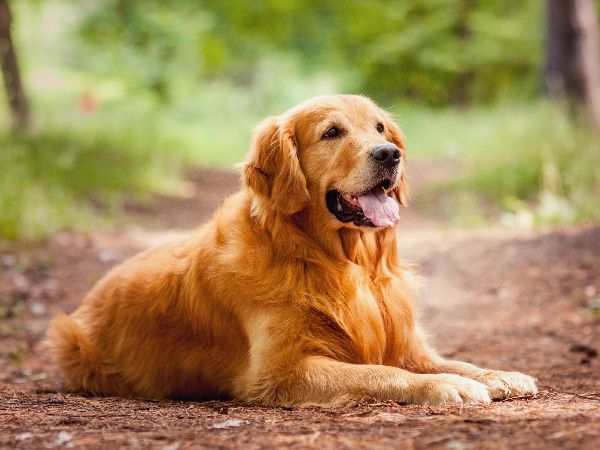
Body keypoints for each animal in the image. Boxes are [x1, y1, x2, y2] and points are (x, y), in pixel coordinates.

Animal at [44, 94, 536, 404]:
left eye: (379, 127)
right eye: (332, 132)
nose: (389, 153)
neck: (339, 262)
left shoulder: (407, 343)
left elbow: (453, 361)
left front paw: (497, 374)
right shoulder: (281, 371)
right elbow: (381, 372)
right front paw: (445, 387)